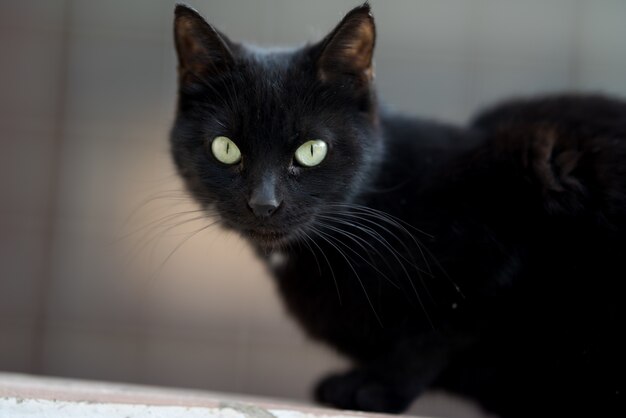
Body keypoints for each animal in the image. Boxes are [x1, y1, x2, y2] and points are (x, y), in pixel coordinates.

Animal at [168, 4, 620, 418]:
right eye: (226, 148)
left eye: (312, 150)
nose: (264, 202)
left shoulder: (513, 209)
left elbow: (438, 330)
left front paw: (374, 387)